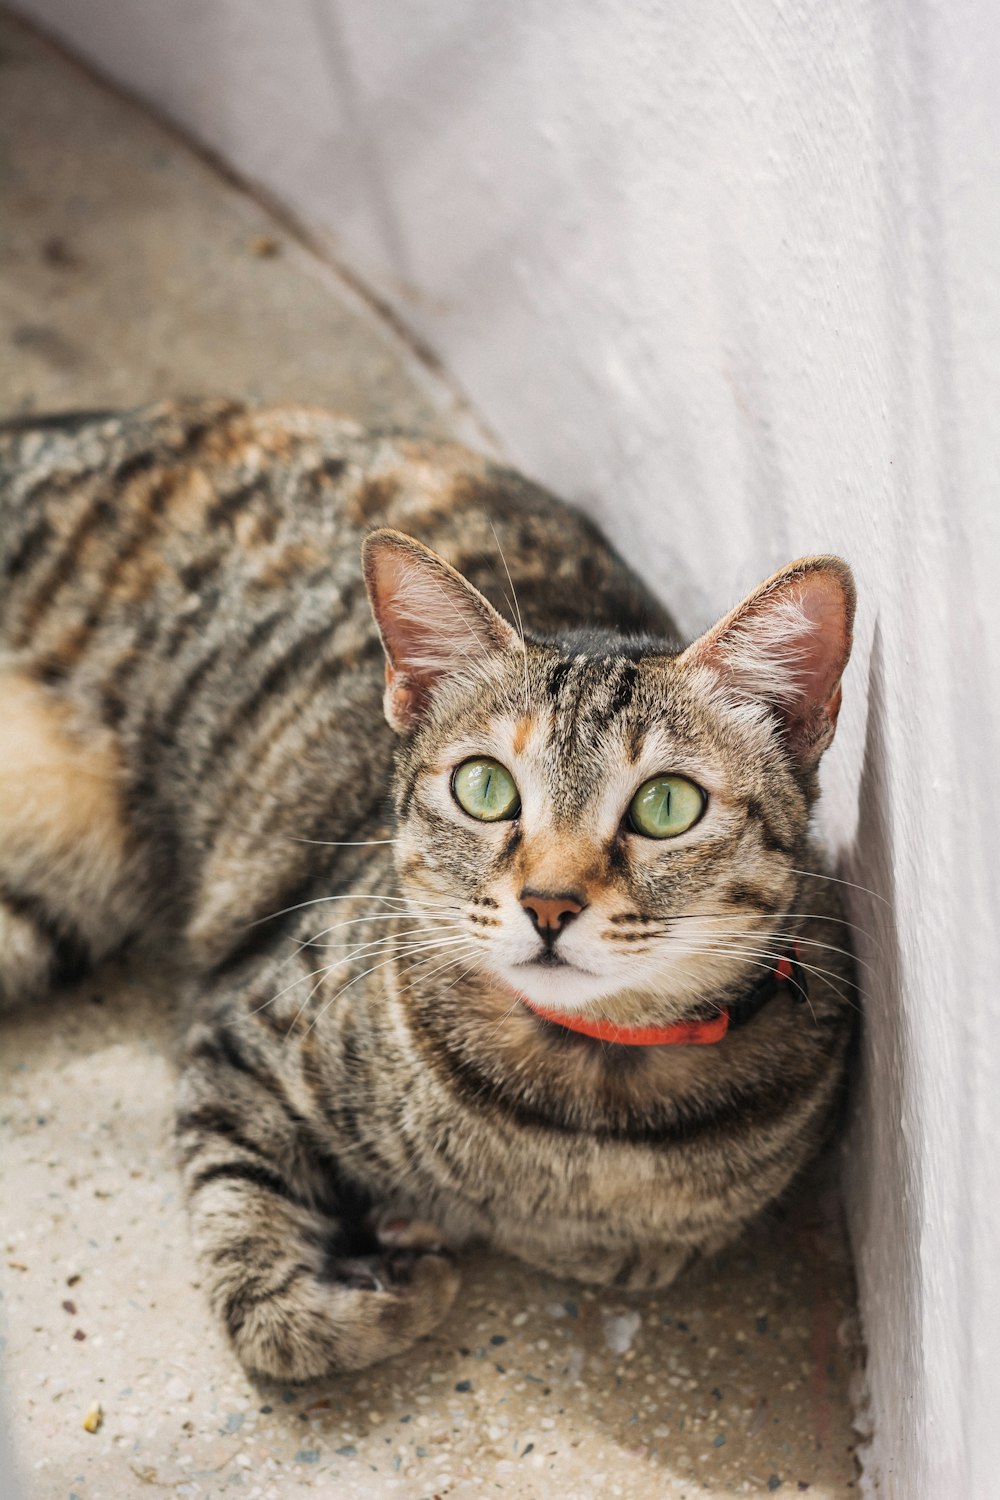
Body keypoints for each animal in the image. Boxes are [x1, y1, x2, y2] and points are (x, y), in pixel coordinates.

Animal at [1, 402, 863, 1380]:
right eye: (484, 788)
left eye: (666, 805)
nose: (549, 903)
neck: (576, 1111)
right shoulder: (240, 1033)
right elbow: (265, 1294)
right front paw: (388, 1281)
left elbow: (622, 1246)